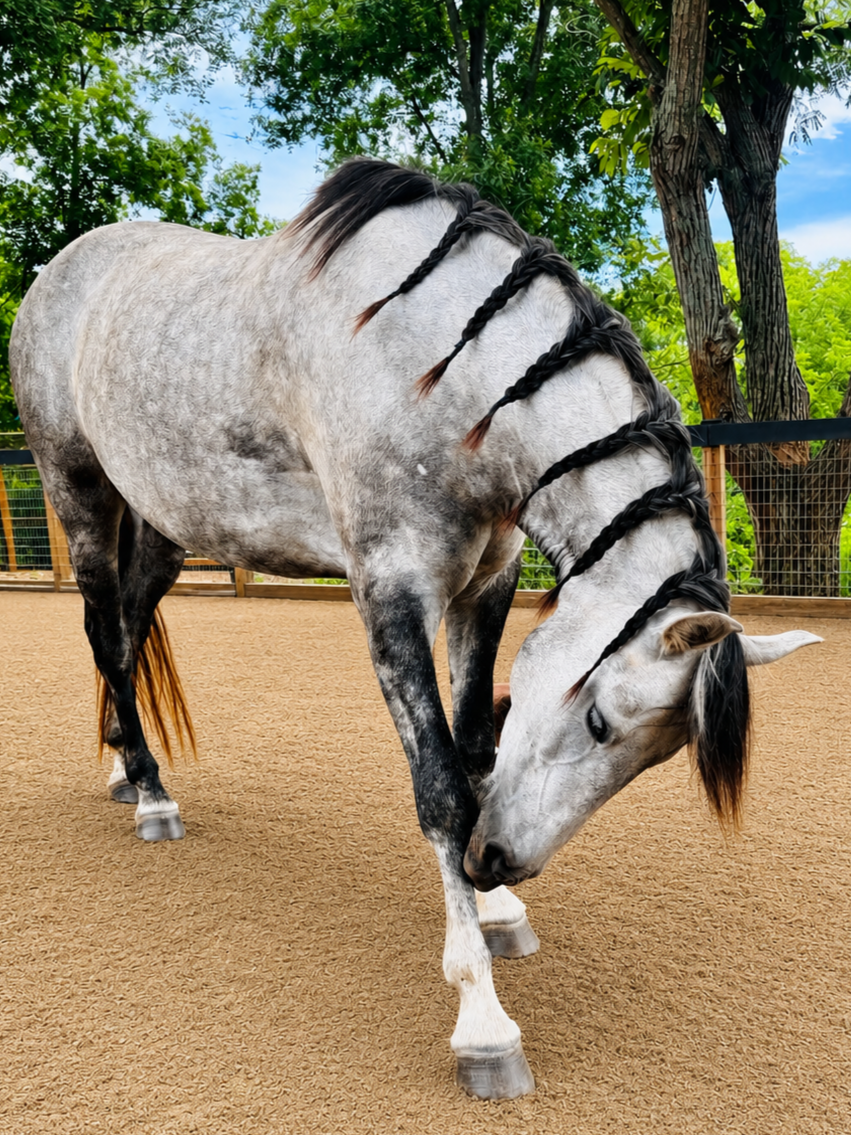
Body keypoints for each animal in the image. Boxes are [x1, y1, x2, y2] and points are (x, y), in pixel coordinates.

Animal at [9, 158, 819, 1100]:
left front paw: (497, 910)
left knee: (131, 631)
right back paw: (151, 793)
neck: (443, 370)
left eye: (653, 756)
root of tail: (59, 274)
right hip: (81, 496)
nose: (498, 858)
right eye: (598, 721)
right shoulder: (392, 591)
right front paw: (483, 1016)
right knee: (105, 631)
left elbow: (473, 750)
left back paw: (123, 766)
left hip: (164, 525)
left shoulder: (486, 585)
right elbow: (439, 787)